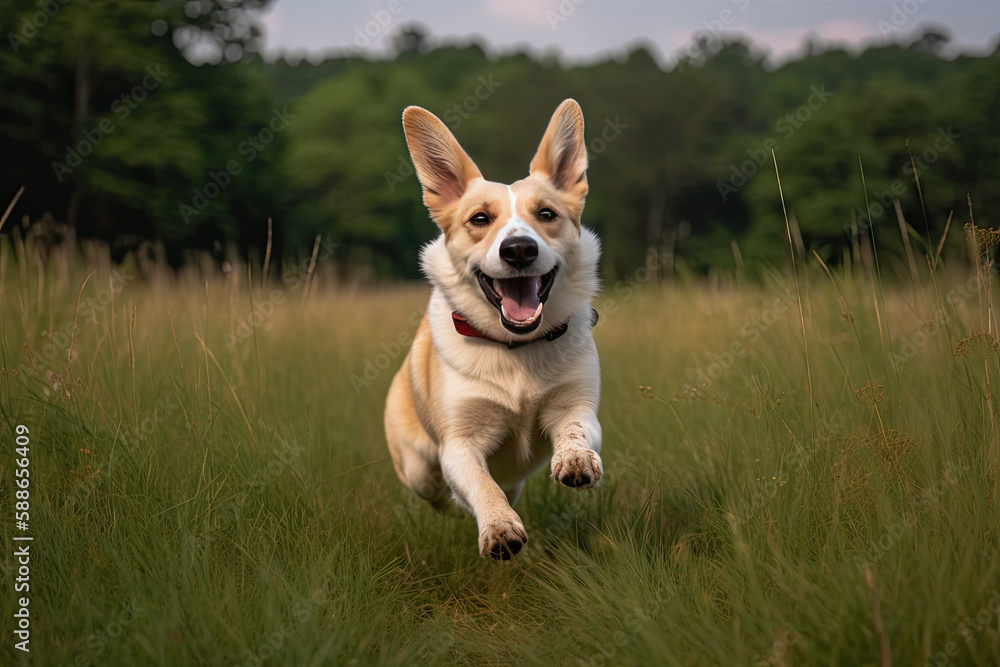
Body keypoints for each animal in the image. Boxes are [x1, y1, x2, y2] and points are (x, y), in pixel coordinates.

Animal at [382, 98, 600, 560]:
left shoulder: (578, 405)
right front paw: (499, 529)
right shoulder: (459, 444)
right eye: (480, 219)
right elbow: (482, 485)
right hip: (417, 467)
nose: (518, 249)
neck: (516, 348)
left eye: (547, 214)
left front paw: (575, 461)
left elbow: (575, 431)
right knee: (437, 491)